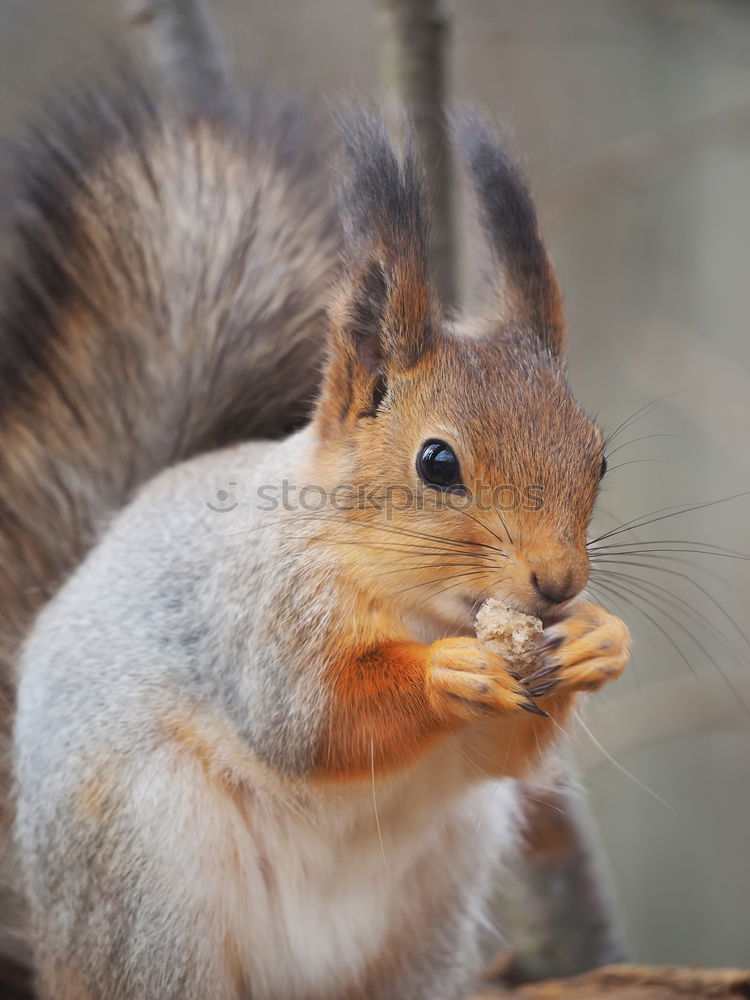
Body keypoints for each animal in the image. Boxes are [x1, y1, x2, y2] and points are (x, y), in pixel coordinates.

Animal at [0, 70, 632, 1000]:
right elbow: (309, 719)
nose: (557, 583)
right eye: (437, 462)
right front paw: (445, 673)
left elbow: (500, 754)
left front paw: (599, 642)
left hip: (429, 911)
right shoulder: (260, 614)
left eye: (598, 457)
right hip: (154, 879)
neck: (419, 604)